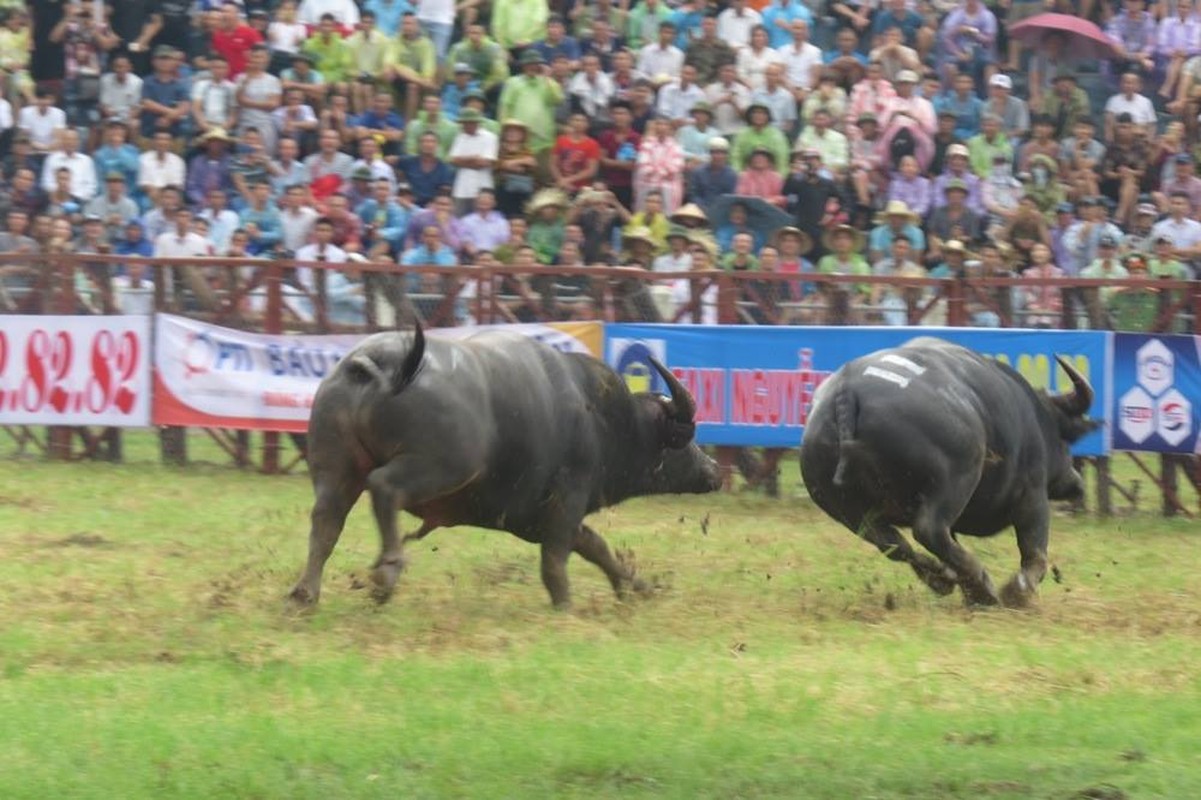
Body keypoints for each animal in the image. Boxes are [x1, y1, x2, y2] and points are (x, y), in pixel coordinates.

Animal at [288, 321, 720, 607]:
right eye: (685, 444)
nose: (715, 471)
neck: (599, 416)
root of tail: (380, 364)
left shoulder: (535, 517)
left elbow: (594, 545)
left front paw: (634, 586)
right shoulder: (567, 499)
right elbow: (556, 560)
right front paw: (565, 605)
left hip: (336, 468)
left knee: (326, 521)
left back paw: (304, 594)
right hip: (442, 466)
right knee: (384, 489)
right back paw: (386, 572)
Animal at [797, 336, 1100, 605]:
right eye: (1064, 438)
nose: (1076, 483)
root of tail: (847, 392)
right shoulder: (1032, 494)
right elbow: (1036, 551)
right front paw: (1018, 592)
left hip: (848, 510)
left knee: (895, 545)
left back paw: (944, 579)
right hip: (956, 478)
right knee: (928, 531)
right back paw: (981, 586)